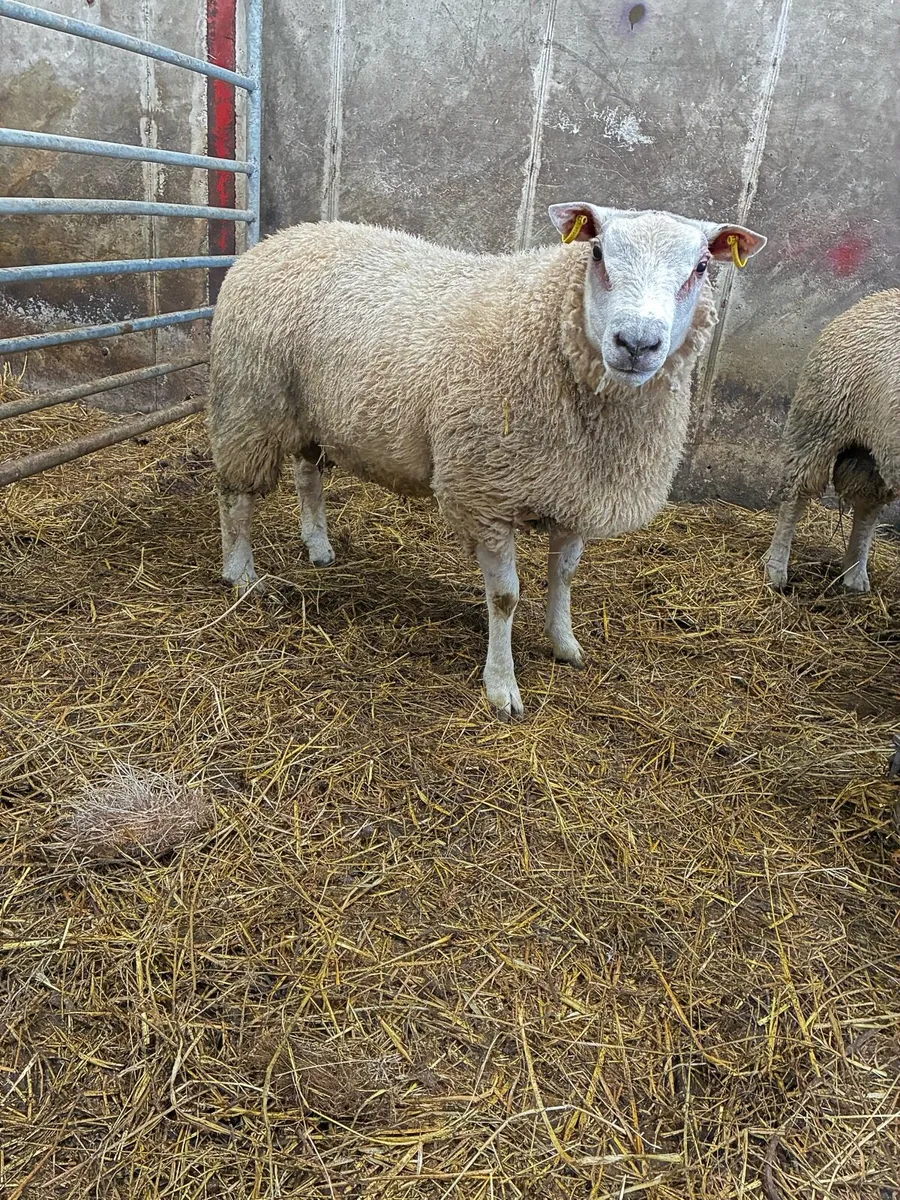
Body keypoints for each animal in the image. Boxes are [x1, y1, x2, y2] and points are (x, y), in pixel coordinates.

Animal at [208, 204, 765, 719]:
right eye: (598, 253)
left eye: (701, 267)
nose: (636, 343)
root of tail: (282, 237)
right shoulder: (485, 493)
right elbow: (505, 598)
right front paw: (502, 686)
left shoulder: (576, 492)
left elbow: (564, 577)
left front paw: (564, 644)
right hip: (252, 400)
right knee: (235, 496)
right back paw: (242, 575)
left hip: (310, 411)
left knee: (307, 475)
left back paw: (318, 546)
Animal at [765, 289, 900, 593]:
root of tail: (866, 301)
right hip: (819, 420)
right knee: (796, 494)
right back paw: (775, 568)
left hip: (874, 448)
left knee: (866, 505)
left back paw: (854, 574)